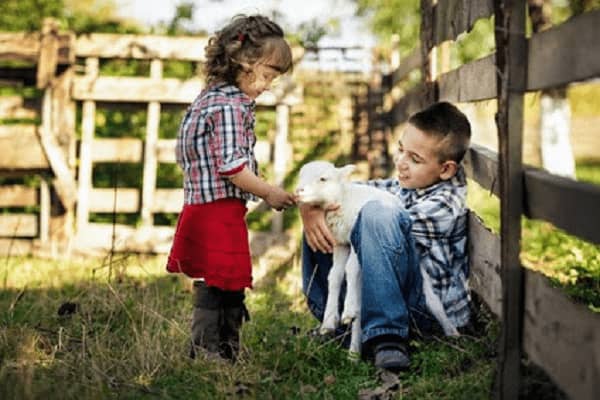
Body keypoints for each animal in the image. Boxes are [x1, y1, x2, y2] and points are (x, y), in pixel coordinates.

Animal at [296, 161, 460, 354]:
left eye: (323, 179)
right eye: (301, 175)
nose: (299, 191)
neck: (344, 200)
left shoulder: (355, 237)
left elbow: (349, 269)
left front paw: (347, 310)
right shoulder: (340, 244)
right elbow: (334, 275)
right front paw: (329, 320)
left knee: (433, 300)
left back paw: (453, 333)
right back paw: (354, 352)